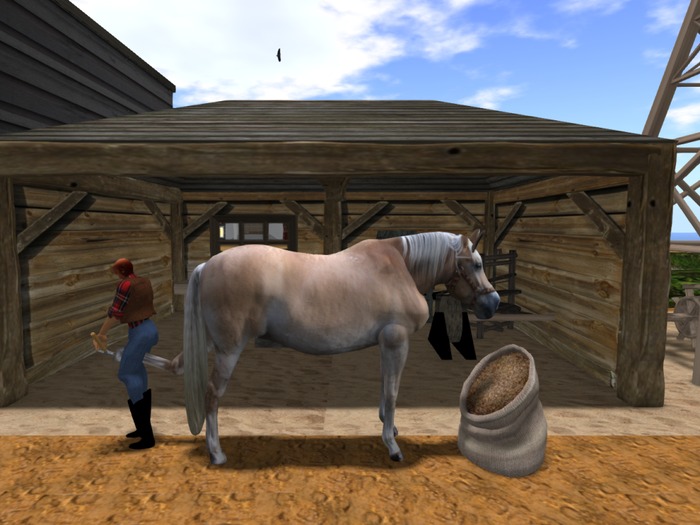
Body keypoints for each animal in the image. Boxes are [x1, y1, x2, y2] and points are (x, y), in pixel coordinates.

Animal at [171, 230, 500, 465]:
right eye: (477, 264)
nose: (493, 303)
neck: (402, 267)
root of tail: (207, 264)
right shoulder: (397, 339)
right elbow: (393, 393)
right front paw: (393, 446)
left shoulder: (386, 343)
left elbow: (385, 386)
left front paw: (389, 428)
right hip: (228, 350)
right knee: (212, 396)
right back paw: (217, 454)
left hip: (213, 344)